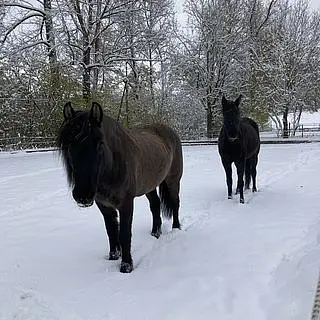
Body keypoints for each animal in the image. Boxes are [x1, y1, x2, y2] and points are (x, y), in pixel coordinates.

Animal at [57, 102, 182, 272]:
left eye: (100, 143)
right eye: (69, 144)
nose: (83, 195)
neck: (113, 166)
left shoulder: (126, 203)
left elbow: (124, 233)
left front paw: (126, 266)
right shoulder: (103, 205)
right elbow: (111, 231)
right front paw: (113, 256)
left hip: (173, 180)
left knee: (175, 203)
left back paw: (176, 229)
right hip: (149, 185)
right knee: (155, 205)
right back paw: (155, 233)